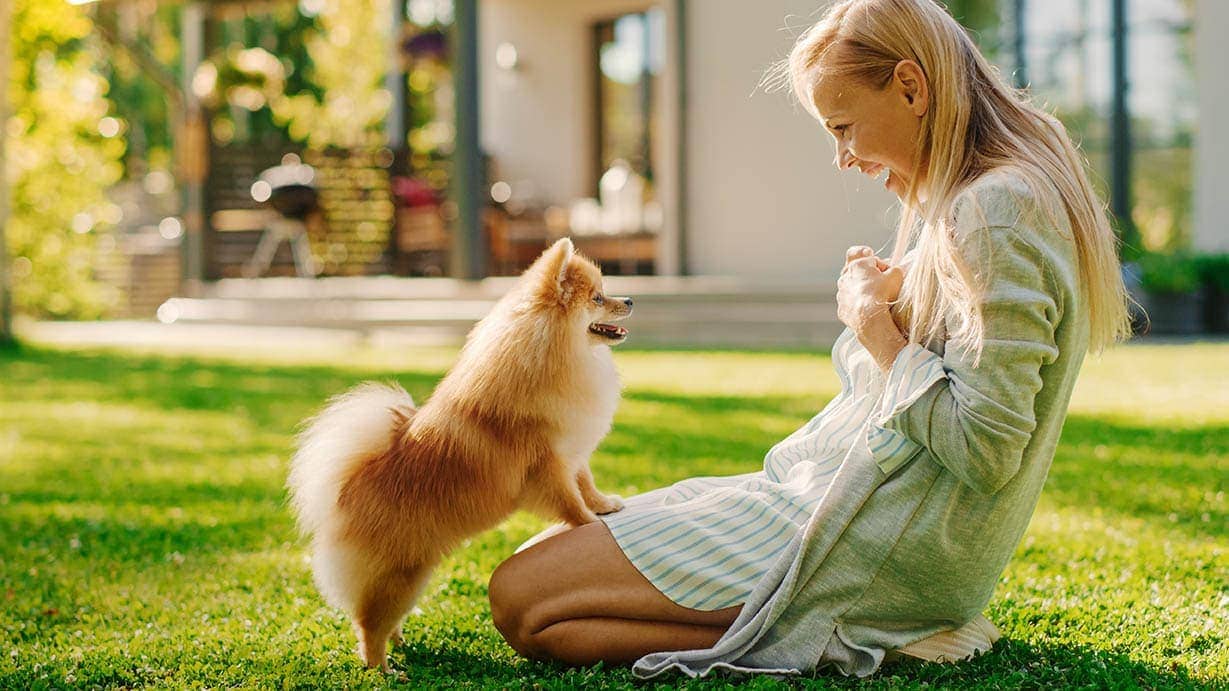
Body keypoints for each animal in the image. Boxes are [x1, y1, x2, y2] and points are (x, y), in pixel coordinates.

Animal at [288, 234, 634, 668]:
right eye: (598, 298)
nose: (630, 299)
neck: (558, 358)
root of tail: (350, 483)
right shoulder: (546, 468)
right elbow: (570, 501)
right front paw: (590, 525)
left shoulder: (572, 453)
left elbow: (586, 483)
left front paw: (604, 505)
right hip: (400, 575)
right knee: (368, 624)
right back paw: (381, 668)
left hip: (413, 574)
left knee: (381, 619)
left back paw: (401, 645)